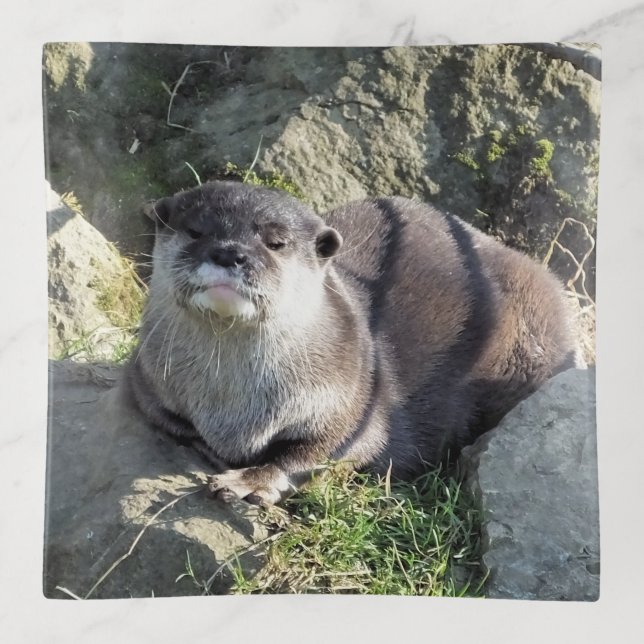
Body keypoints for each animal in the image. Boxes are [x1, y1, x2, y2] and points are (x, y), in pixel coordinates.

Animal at [127, 180, 578, 505]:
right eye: (195, 231)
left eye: (276, 242)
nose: (229, 253)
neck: (232, 408)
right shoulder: (146, 378)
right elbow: (175, 423)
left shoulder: (354, 398)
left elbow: (315, 452)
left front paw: (249, 480)